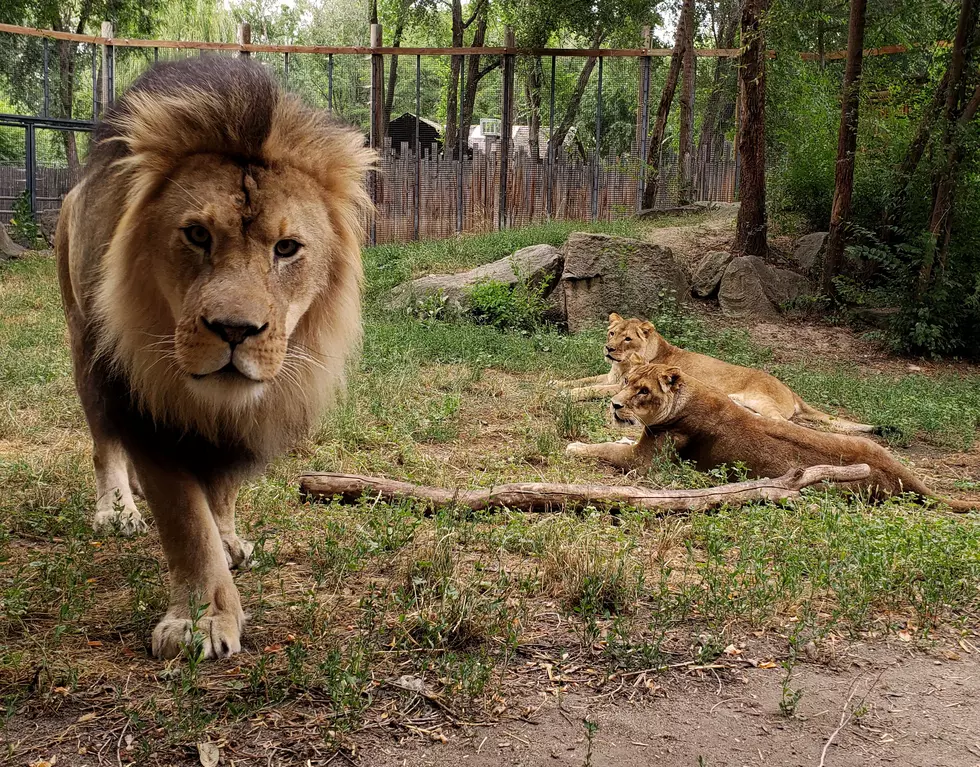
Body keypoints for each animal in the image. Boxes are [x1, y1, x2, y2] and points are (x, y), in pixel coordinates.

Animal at [55, 60, 376, 660]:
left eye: (286, 248)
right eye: (197, 235)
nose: (234, 330)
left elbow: (220, 491)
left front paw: (227, 540)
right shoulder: (146, 412)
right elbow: (186, 523)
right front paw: (201, 619)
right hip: (85, 346)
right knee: (104, 442)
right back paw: (116, 508)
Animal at [556, 312, 876, 432]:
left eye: (627, 338)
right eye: (611, 333)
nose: (608, 348)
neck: (621, 363)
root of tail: (790, 390)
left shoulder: (619, 385)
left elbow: (590, 388)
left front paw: (566, 393)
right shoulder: (610, 377)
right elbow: (583, 379)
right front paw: (557, 381)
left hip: (759, 399)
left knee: (785, 423)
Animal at [564, 360, 976, 510]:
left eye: (643, 391)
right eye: (626, 382)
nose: (615, 405)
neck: (686, 397)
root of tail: (897, 472)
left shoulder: (643, 464)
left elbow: (604, 449)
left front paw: (575, 446)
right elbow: (618, 441)